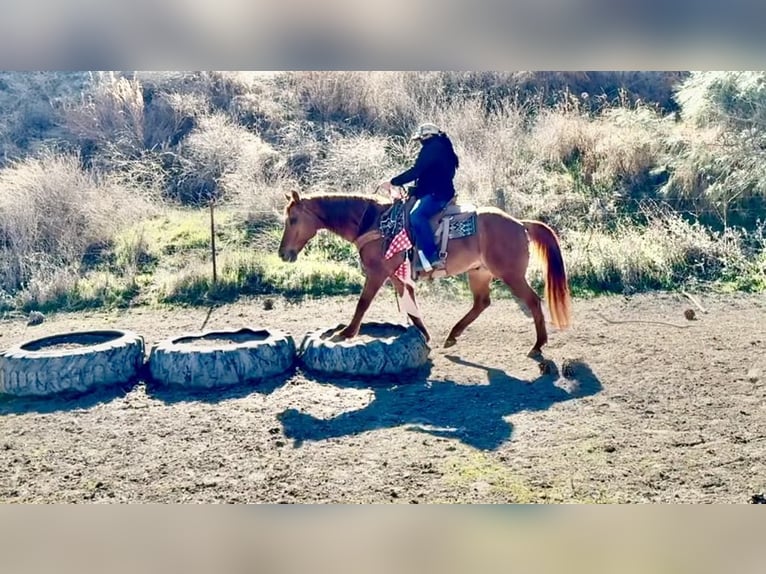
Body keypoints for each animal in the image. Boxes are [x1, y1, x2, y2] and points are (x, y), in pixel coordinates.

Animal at [277, 189, 572, 357]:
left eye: (293, 219)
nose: (283, 254)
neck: (373, 222)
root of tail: (520, 223)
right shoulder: (397, 277)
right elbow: (411, 308)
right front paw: (424, 336)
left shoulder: (377, 274)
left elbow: (363, 303)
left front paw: (346, 333)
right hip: (479, 273)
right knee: (481, 303)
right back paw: (452, 335)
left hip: (511, 274)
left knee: (532, 301)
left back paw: (538, 345)